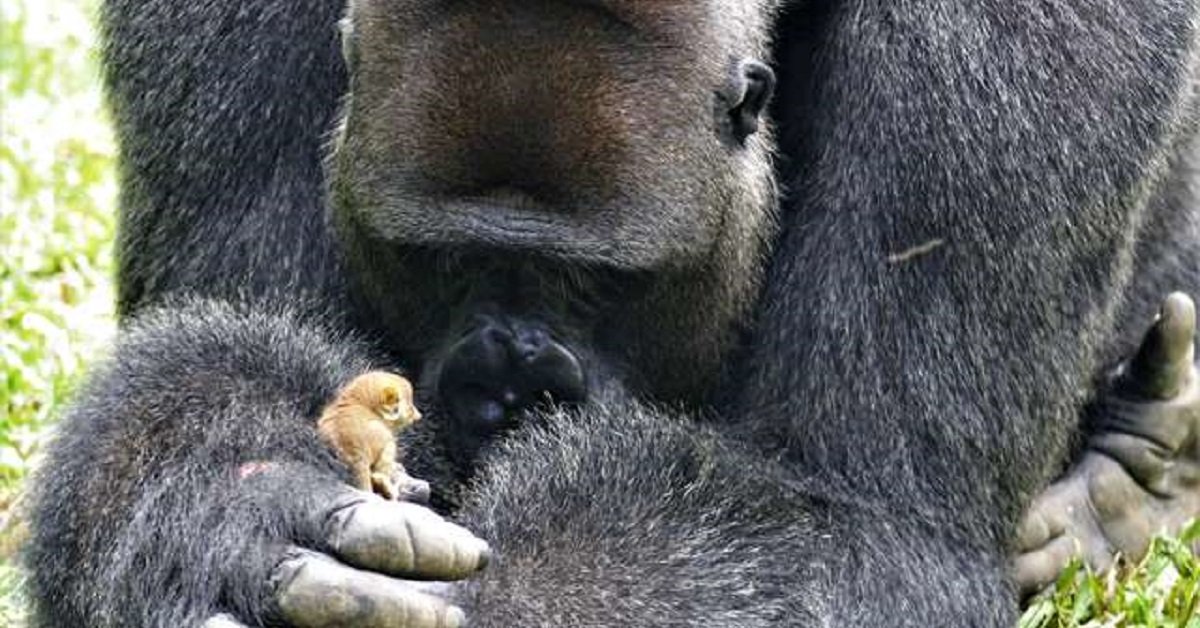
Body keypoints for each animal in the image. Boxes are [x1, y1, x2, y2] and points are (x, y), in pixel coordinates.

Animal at [23, 0, 1195, 624]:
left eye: (600, 285)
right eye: (443, 261)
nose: (508, 387)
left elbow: (853, 512)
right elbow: (230, 331)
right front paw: (222, 494)